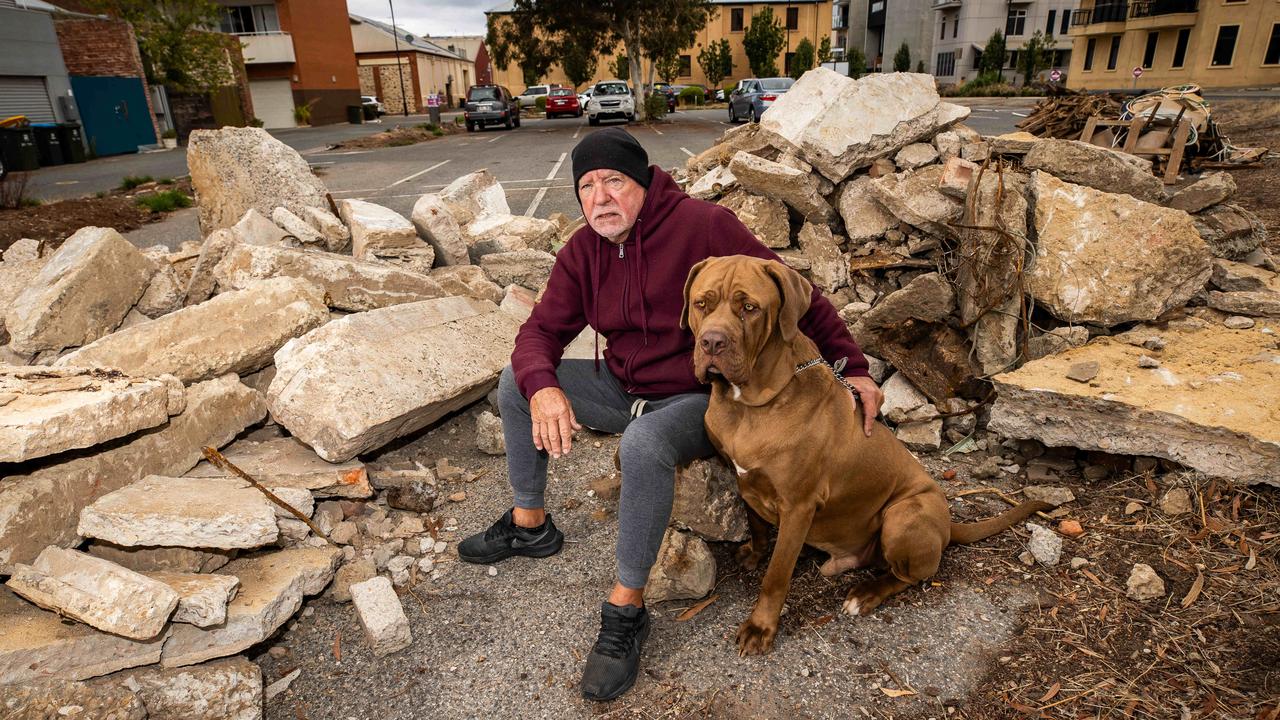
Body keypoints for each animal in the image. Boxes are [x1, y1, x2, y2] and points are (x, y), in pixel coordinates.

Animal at [680, 254, 1049, 653]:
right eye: (702, 304)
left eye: (749, 308)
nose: (712, 342)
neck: (749, 404)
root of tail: (949, 526)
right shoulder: (742, 478)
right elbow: (758, 526)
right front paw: (754, 552)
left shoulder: (797, 506)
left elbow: (776, 576)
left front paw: (761, 627)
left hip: (904, 514)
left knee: (910, 574)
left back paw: (866, 594)